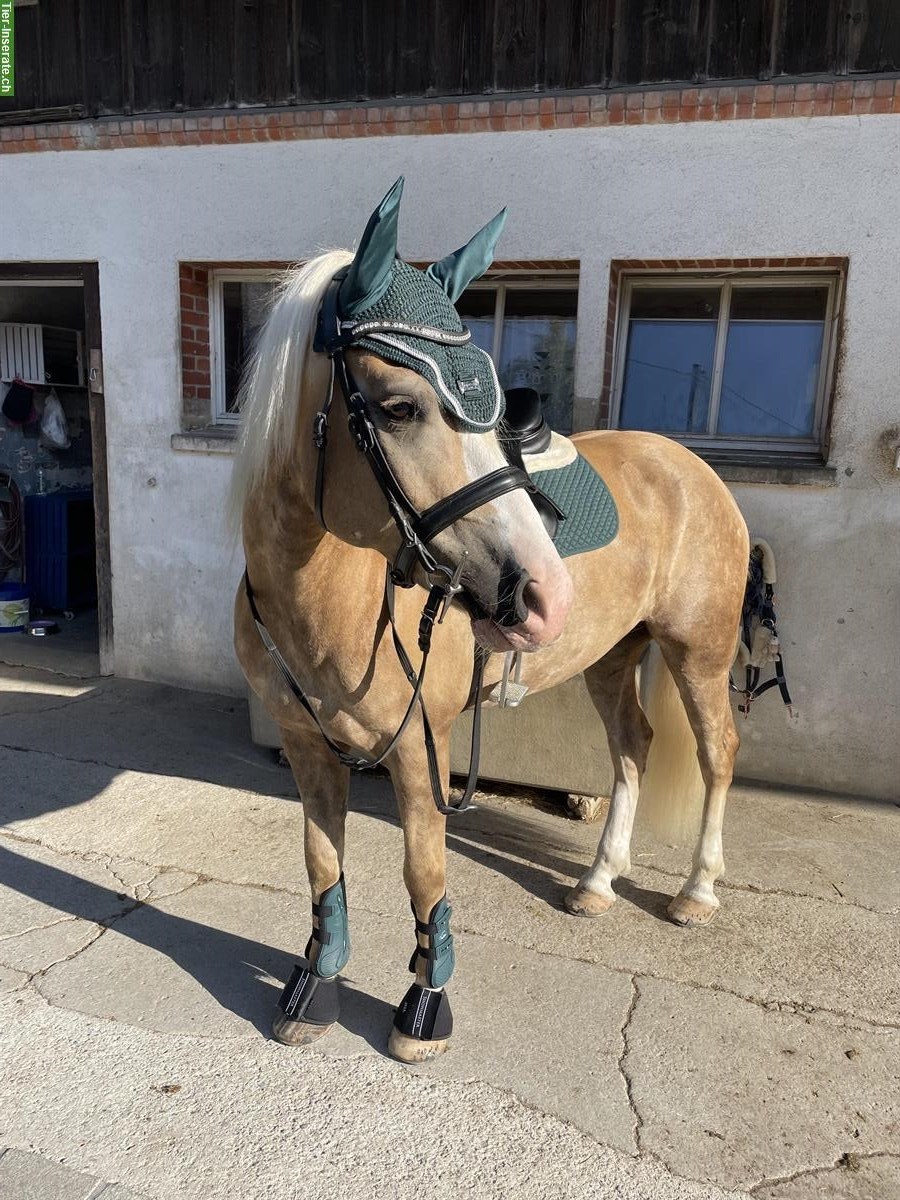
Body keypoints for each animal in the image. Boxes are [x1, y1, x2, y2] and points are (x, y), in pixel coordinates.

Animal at [230, 177, 748, 1060]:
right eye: (399, 407)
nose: (545, 594)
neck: (331, 599)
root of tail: (692, 468)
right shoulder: (305, 745)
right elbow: (322, 865)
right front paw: (316, 987)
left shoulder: (418, 752)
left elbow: (424, 874)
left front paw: (424, 1005)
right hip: (612, 656)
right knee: (634, 749)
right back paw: (597, 881)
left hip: (698, 652)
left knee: (717, 756)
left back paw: (695, 893)